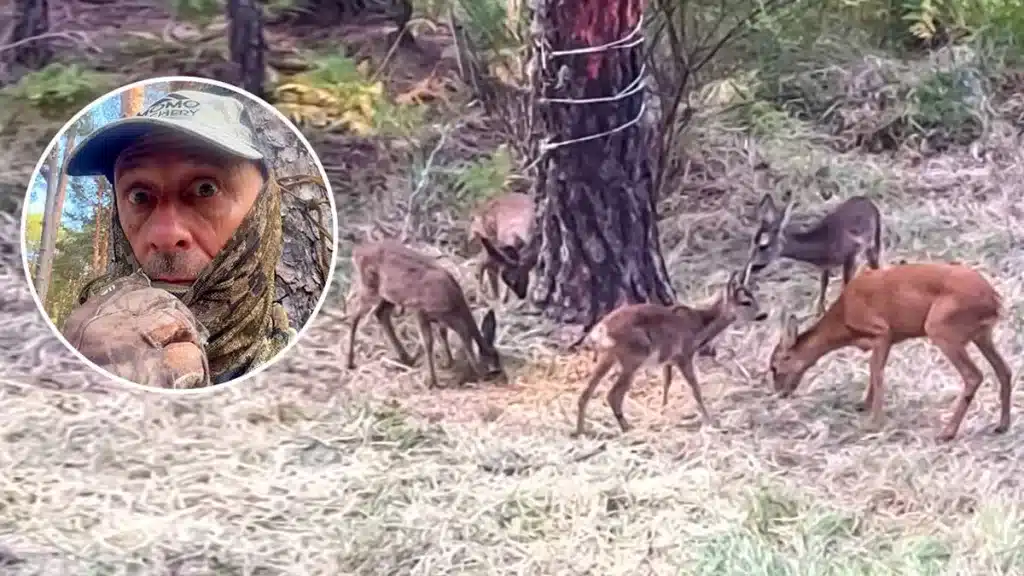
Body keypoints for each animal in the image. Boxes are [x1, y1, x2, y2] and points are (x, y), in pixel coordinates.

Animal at [344, 235, 503, 387]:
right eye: (491, 357)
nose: (498, 372)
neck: (454, 304)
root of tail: (357, 252)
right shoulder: (421, 310)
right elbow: (429, 342)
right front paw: (433, 382)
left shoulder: (441, 318)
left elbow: (443, 334)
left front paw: (448, 362)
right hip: (369, 286)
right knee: (355, 315)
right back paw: (350, 362)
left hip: (388, 296)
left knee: (380, 313)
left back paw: (406, 358)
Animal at [577, 266, 770, 436]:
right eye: (746, 302)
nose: (763, 315)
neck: (700, 324)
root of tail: (599, 332)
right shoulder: (684, 354)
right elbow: (695, 388)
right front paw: (709, 420)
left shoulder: (668, 359)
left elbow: (666, 383)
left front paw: (663, 411)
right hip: (633, 357)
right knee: (613, 394)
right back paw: (626, 428)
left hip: (609, 357)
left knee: (586, 392)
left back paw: (581, 430)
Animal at [749, 190, 884, 313]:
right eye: (753, 241)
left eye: (763, 245)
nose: (752, 266)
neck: (823, 244)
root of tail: (867, 200)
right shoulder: (825, 267)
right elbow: (823, 287)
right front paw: (820, 312)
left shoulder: (851, 256)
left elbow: (846, 286)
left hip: (874, 242)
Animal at [770, 260, 1015, 438]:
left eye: (775, 366)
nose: (780, 393)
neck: (844, 319)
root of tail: (994, 298)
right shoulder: (887, 339)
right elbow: (874, 371)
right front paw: (864, 405)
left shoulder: (881, 331)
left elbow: (876, 373)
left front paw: (874, 423)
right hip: (981, 334)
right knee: (1004, 370)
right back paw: (1002, 426)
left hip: (941, 327)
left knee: (974, 375)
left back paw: (947, 433)